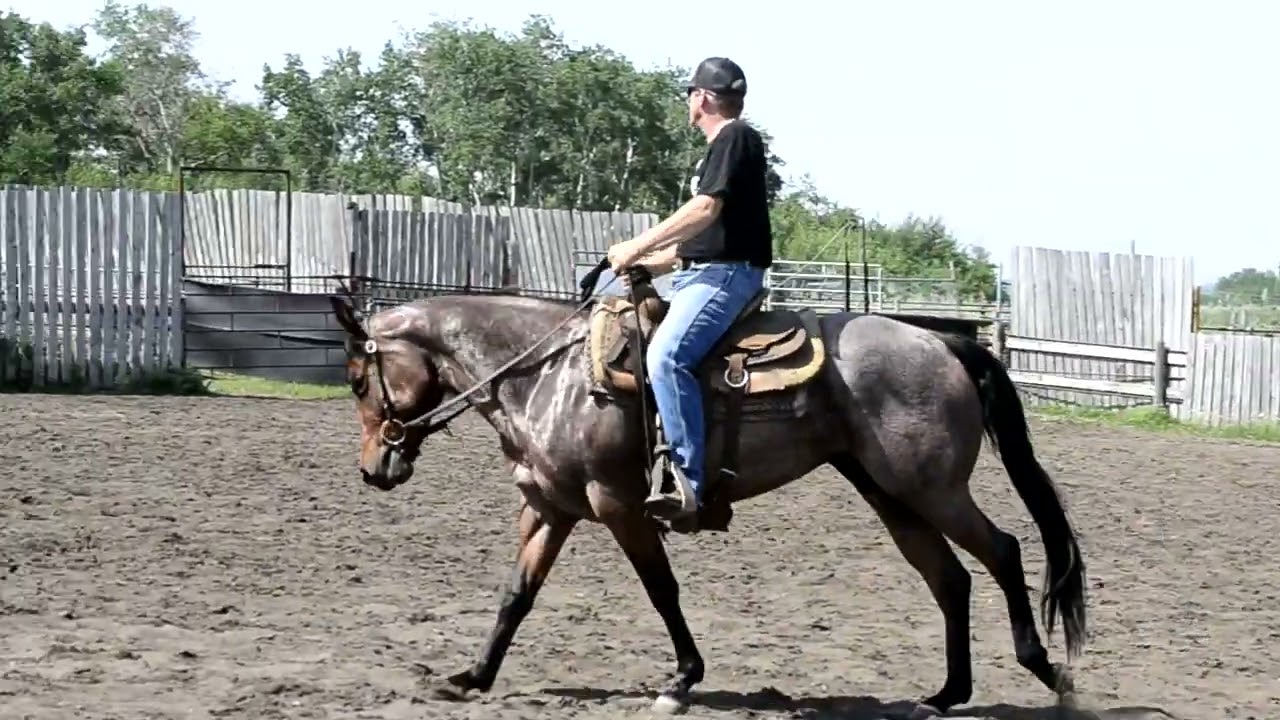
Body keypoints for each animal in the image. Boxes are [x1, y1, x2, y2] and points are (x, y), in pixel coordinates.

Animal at [326, 262, 1088, 717]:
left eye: (359, 380)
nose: (373, 469)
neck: (545, 374)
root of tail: (943, 344)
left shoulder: (618, 505)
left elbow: (661, 590)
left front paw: (682, 678)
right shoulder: (547, 508)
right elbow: (518, 594)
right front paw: (471, 678)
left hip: (932, 488)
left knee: (1004, 550)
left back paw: (1047, 671)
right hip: (891, 494)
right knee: (949, 577)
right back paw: (948, 692)